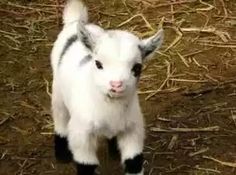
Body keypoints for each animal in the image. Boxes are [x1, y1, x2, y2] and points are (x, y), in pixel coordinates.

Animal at [50, 0, 163, 174]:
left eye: (137, 68)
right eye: (98, 64)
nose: (116, 84)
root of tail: (75, 22)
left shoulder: (133, 128)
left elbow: (134, 162)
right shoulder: (81, 134)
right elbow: (86, 165)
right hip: (58, 93)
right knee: (60, 117)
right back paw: (62, 155)